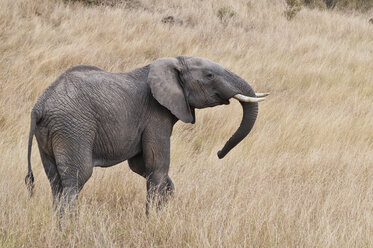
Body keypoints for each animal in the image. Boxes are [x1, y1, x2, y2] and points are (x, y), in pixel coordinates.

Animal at [24, 56, 268, 215]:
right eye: (209, 75)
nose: (218, 153)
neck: (173, 62)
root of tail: (39, 107)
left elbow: (141, 166)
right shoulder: (155, 116)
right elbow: (156, 166)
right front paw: (154, 221)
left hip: (51, 133)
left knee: (55, 182)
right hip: (73, 128)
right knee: (75, 181)